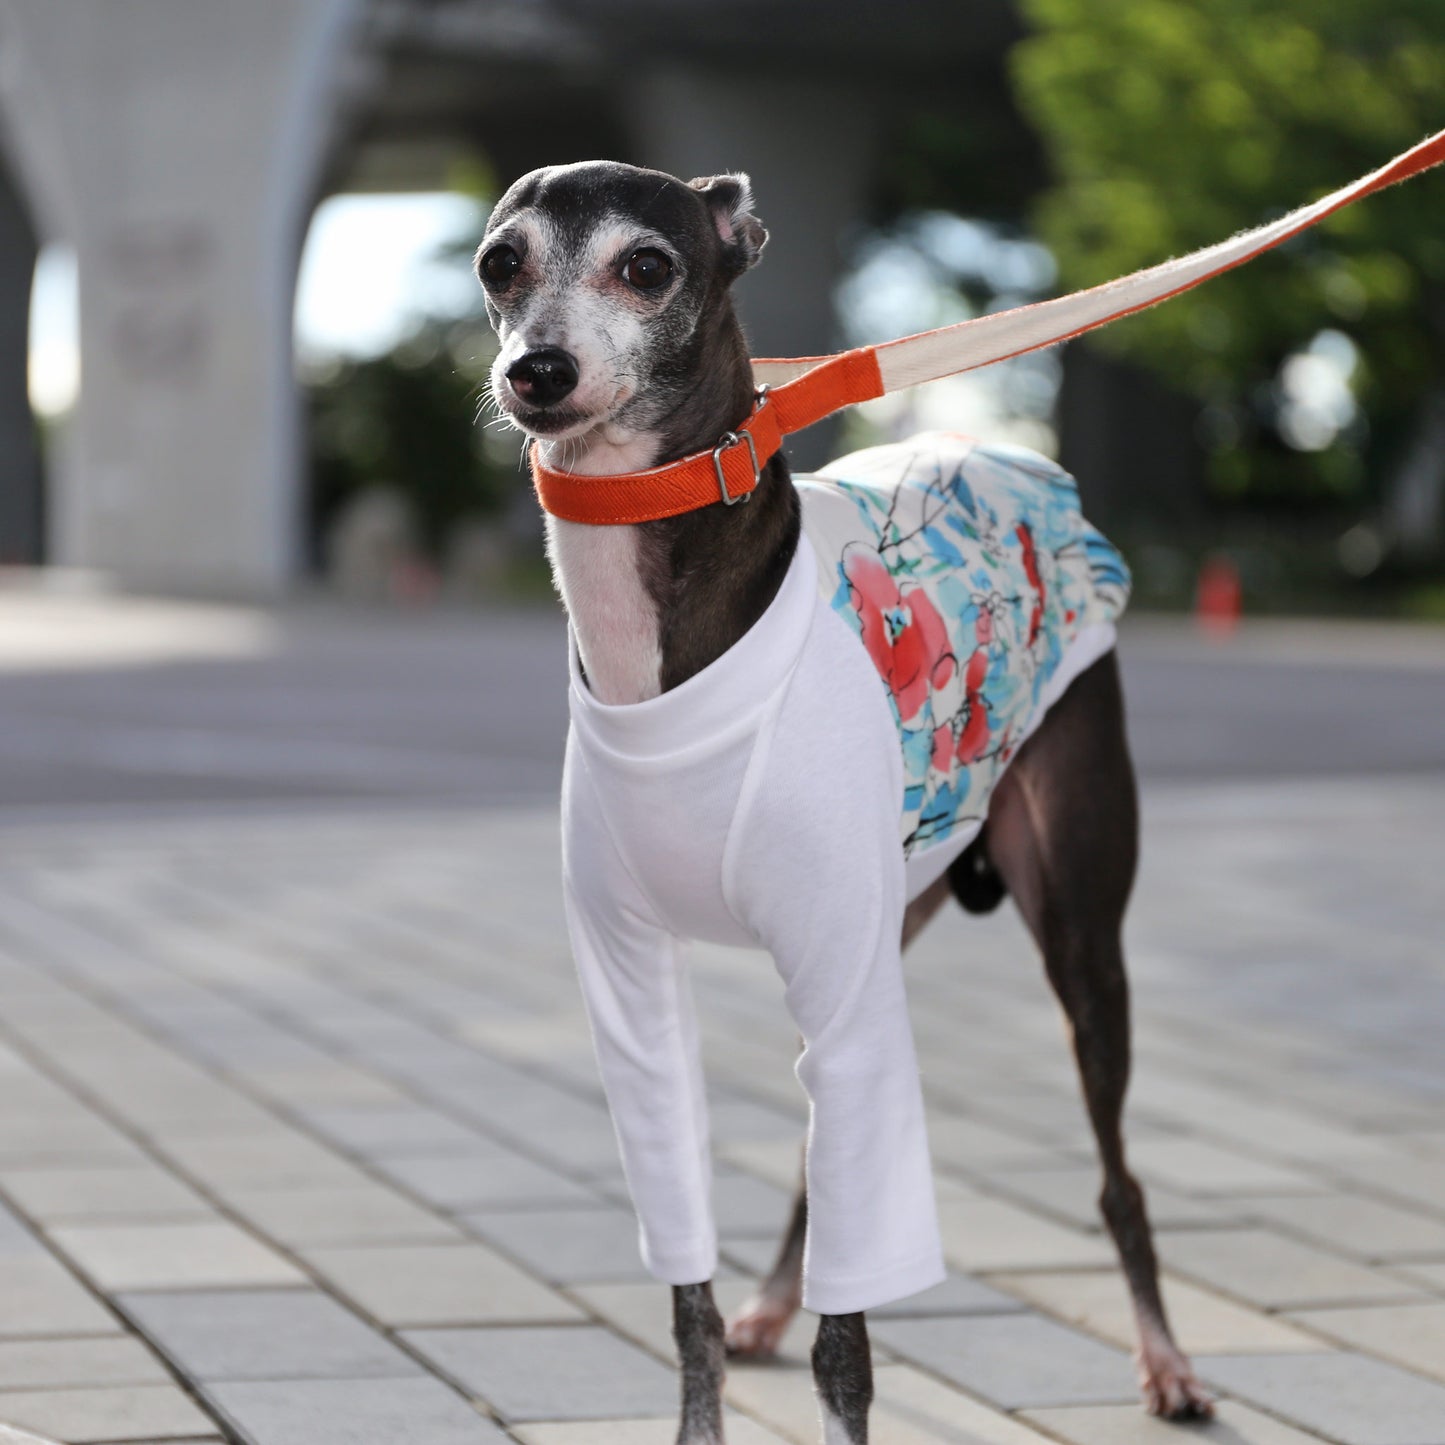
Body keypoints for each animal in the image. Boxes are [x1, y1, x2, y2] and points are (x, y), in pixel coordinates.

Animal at [473, 164, 1208, 1439]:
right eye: (498, 264)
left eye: (645, 266)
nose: (537, 372)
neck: (654, 649)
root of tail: (1013, 460)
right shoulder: (629, 990)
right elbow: (689, 1305)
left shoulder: (851, 964)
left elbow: (848, 1346)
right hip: (880, 934)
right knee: (827, 1172)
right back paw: (775, 1299)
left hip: (1073, 935)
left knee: (1114, 1172)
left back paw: (1163, 1359)